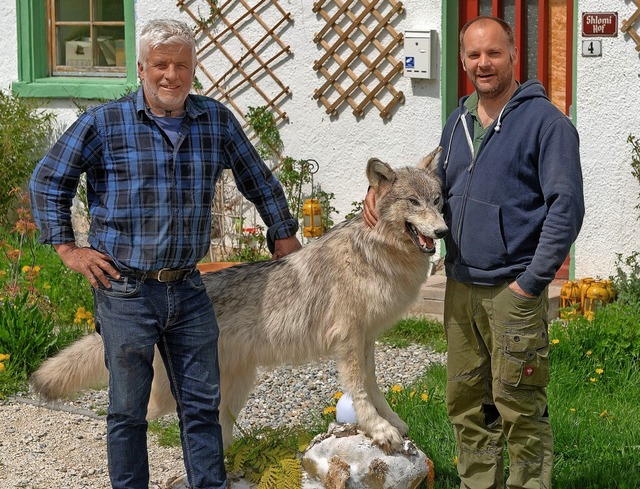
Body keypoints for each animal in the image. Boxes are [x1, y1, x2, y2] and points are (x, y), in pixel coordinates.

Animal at [31, 147, 450, 452]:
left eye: (437, 200)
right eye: (413, 202)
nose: (444, 231)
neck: (374, 254)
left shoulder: (366, 338)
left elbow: (374, 385)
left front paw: (391, 423)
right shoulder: (348, 339)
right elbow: (360, 390)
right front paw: (378, 429)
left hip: (230, 392)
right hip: (170, 395)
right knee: (137, 418)